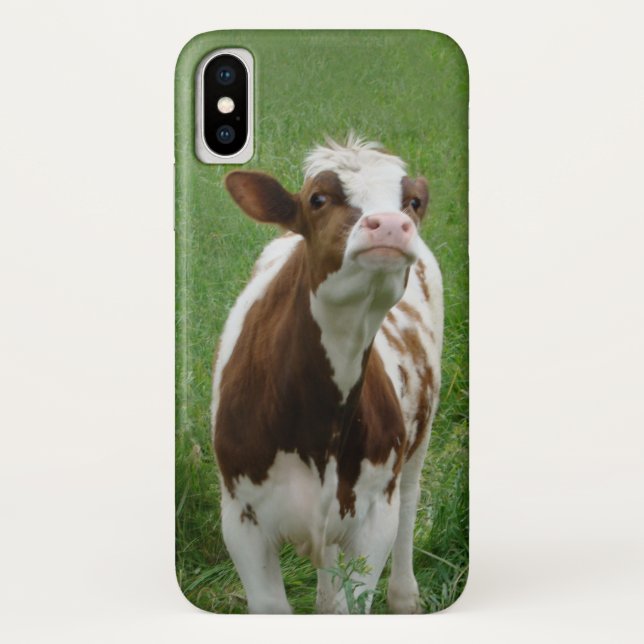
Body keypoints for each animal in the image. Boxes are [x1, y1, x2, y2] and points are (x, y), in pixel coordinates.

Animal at [211, 135, 443, 614]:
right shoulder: (241, 522)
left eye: (412, 202)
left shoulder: (374, 518)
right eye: (318, 199)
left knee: (410, 502)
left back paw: (404, 596)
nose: (391, 225)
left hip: (420, 436)